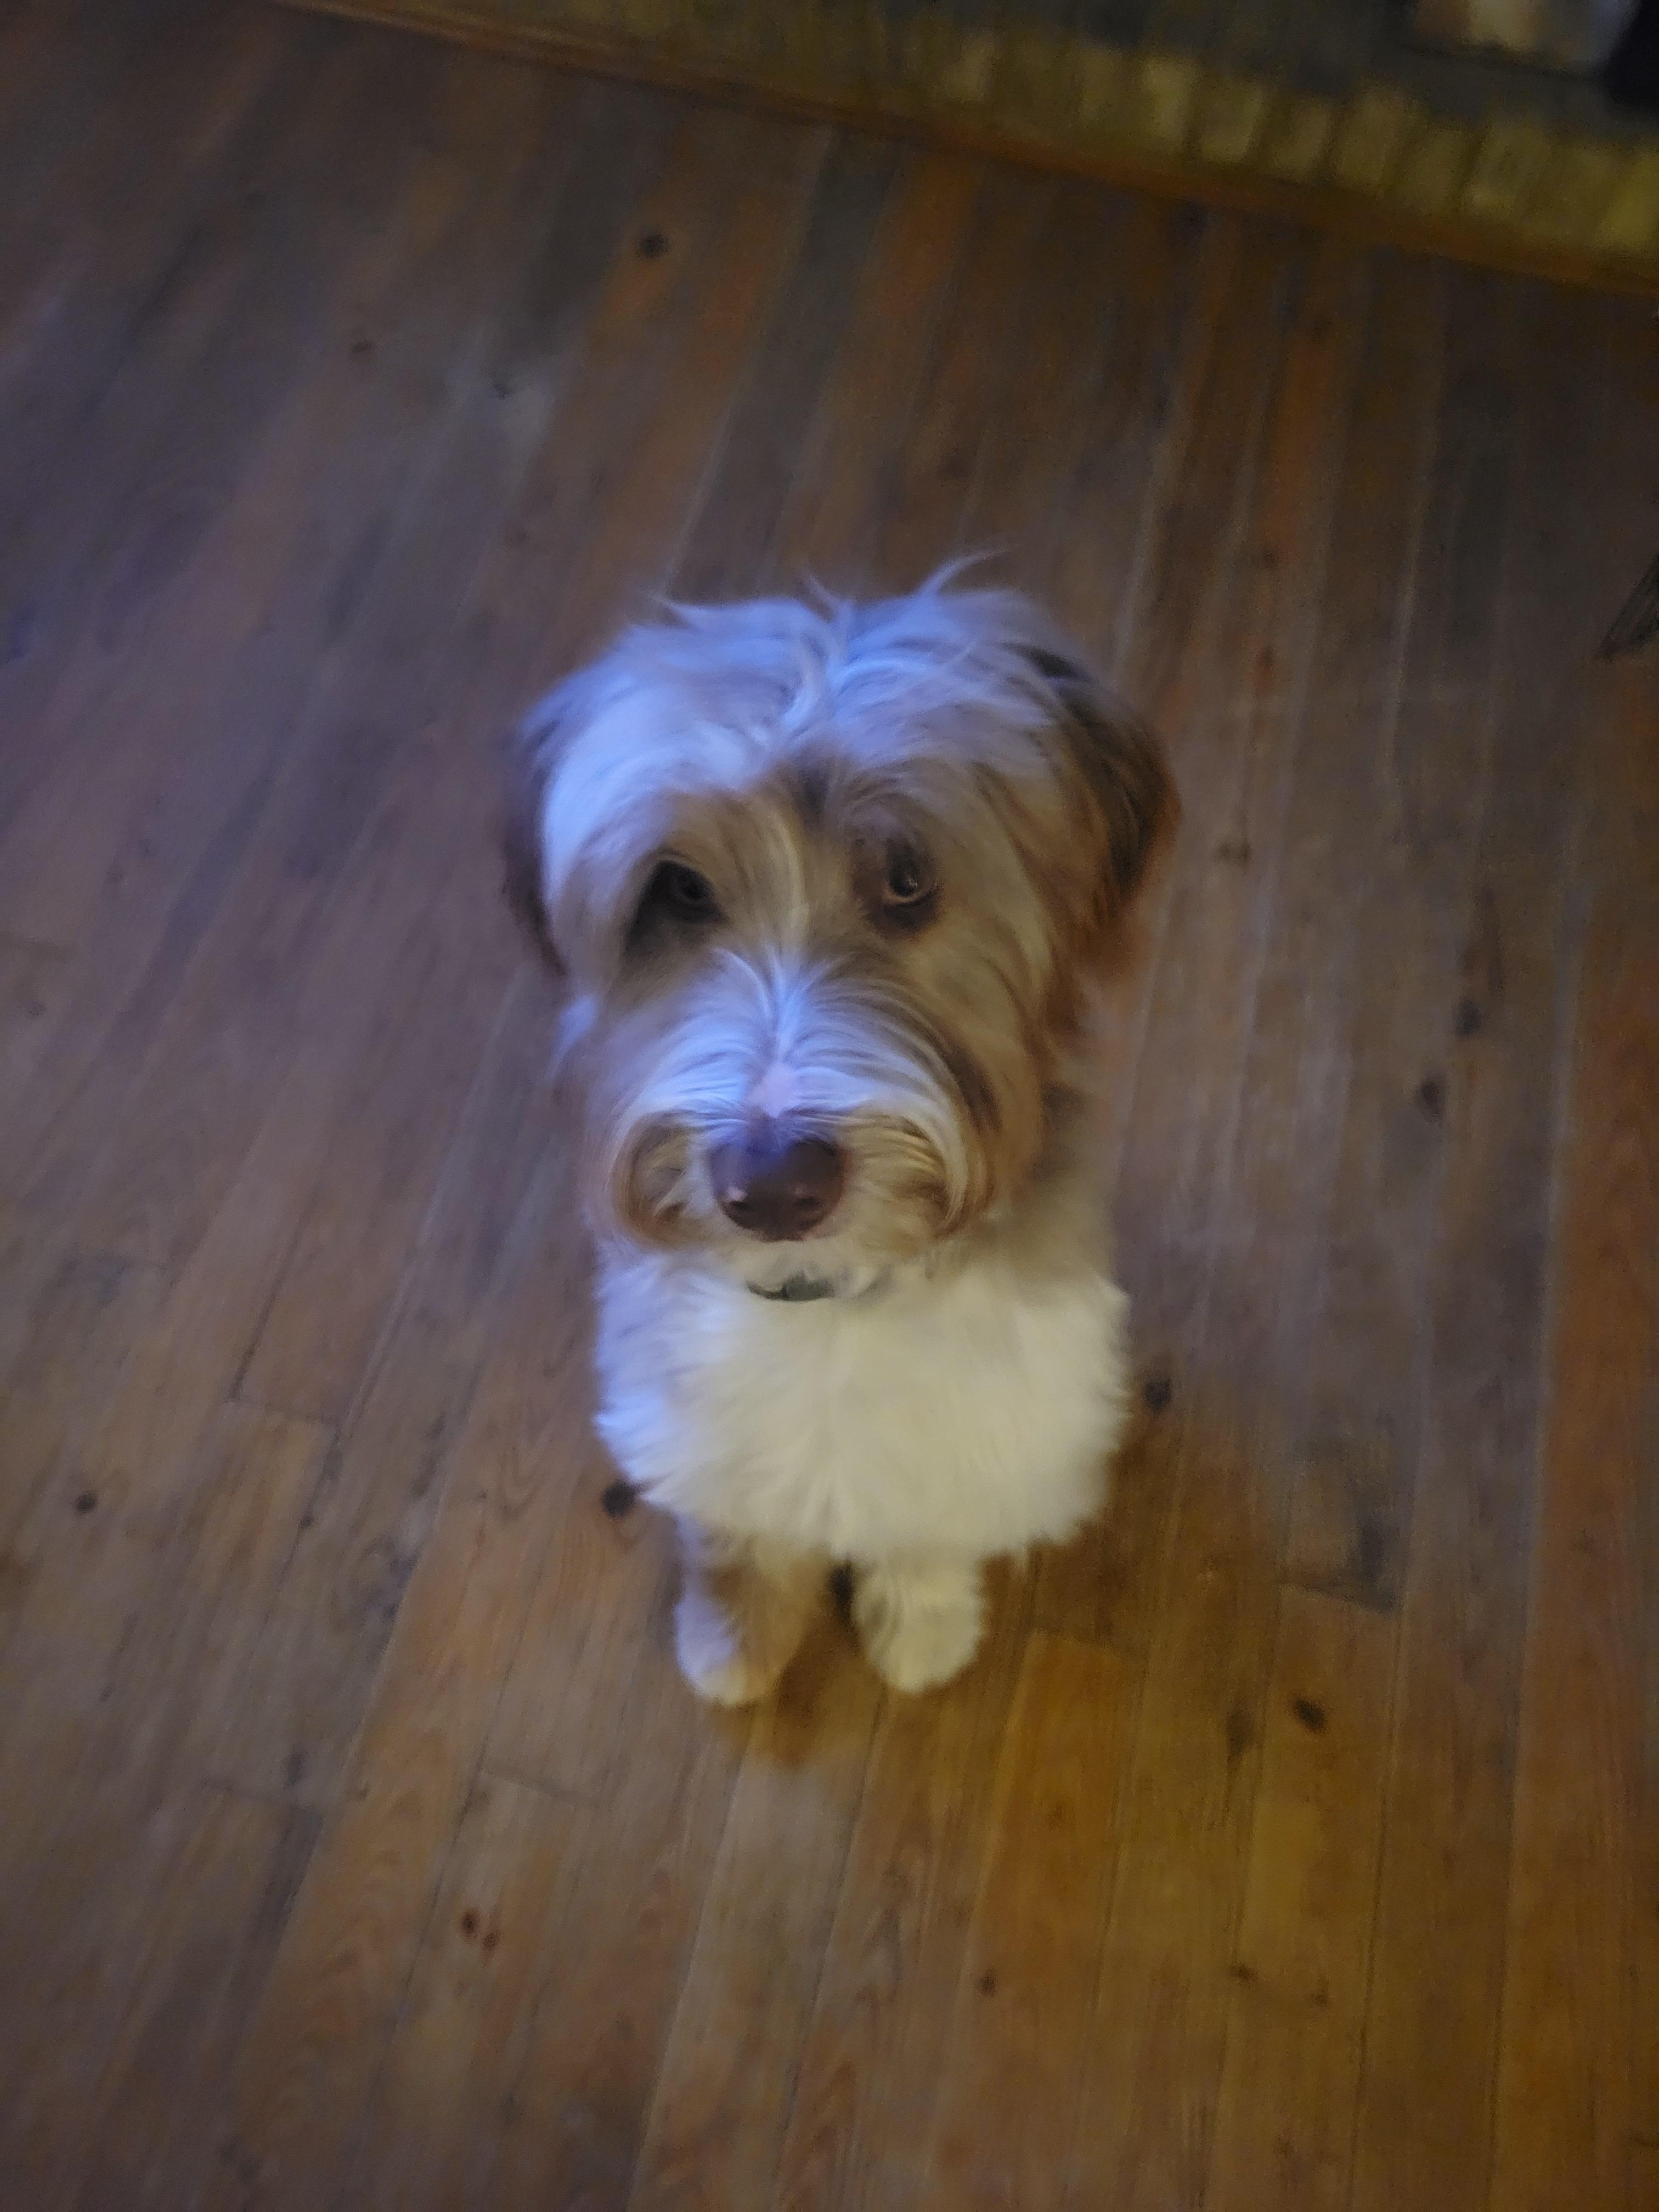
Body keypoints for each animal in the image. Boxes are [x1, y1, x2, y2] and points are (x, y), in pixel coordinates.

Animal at [503, 576, 1175, 1704]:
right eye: (680, 891)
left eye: (907, 881)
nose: (772, 1185)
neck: (825, 1294)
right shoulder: (693, 1417)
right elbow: (739, 1531)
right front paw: (735, 1633)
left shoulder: (997, 1415)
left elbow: (930, 1518)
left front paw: (923, 1618)